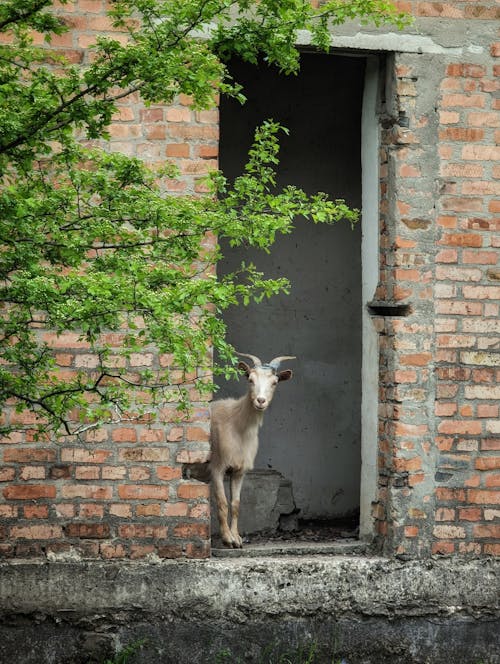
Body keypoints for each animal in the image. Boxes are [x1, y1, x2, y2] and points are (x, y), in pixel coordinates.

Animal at [209, 352, 294, 548]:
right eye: (250, 379)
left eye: (275, 382)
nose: (260, 401)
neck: (237, 425)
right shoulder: (217, 467)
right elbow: (222, 503)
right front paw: (227, 539)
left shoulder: (239, 471)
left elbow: (235, 504)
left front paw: (237, 538)